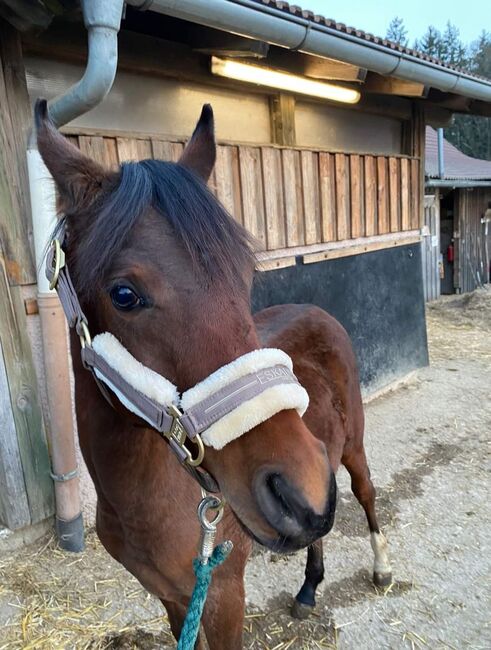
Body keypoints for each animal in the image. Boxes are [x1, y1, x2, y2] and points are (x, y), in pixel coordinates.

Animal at [35, 98, 392, 644]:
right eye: (124, 294)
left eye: (242, 274)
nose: (297, 487)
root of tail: (315, 308)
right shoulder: (175, 600)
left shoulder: (223, 595)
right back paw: (309, 587)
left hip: (350, 448)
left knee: (366, 493)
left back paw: (381, 567)